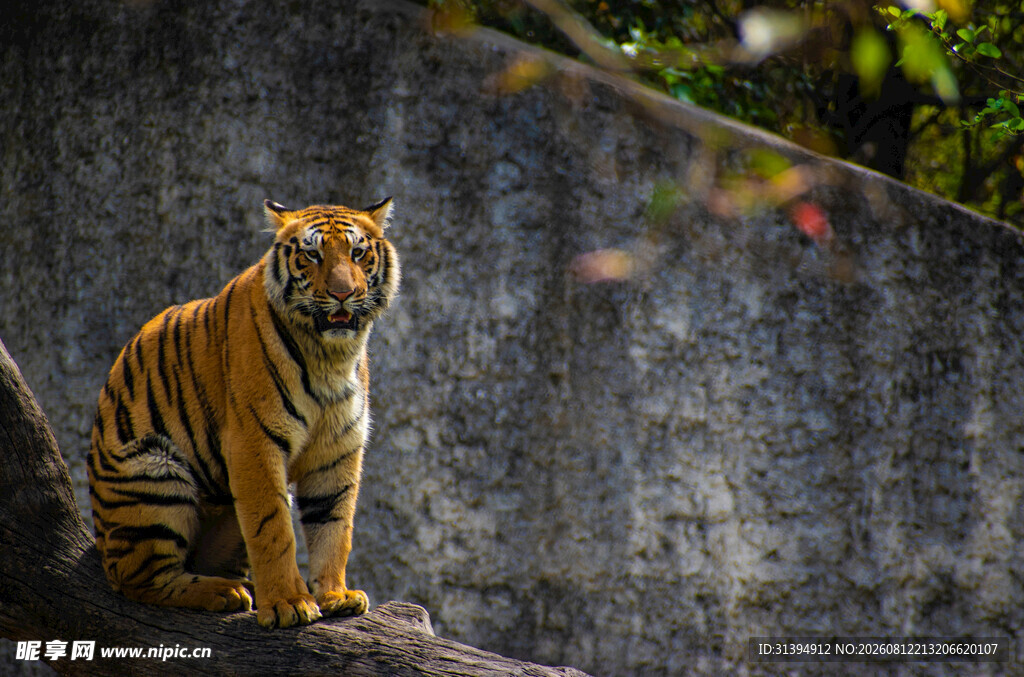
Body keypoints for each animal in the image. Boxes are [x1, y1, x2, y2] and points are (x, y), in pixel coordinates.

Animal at [86, 198, 400, 629]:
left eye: (357, 253)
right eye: (312, 255)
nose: (343, 293)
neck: (331, 355)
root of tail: (100, 540)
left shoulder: (337, 450)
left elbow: (335, 526)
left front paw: (337, 595)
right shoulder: (254, 441)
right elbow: (273, 527)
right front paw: (288, 603)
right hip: (154, 477)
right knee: (140, 579)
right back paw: (225, 592)